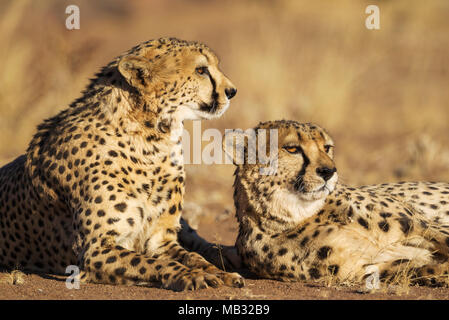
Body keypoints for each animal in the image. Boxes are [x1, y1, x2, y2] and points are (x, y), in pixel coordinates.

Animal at [0, 37, 245, 290]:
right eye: (201, 70)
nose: (232, 91)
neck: (152, 142)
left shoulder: (160, 239)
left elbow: (192, 257)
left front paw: (218, 272)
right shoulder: (95, 250)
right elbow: (153, 263)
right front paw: (192, 275)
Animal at [226, 120, 448, 288]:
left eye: (326, 148)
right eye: (292, 149)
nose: (328, 171)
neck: (303, 214)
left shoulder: (420, 224)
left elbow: (442, 239)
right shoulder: (367, 267)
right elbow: (419, 266)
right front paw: (438, 274)